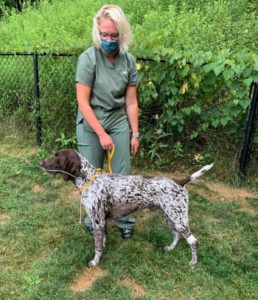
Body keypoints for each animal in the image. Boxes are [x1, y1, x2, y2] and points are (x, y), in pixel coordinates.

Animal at [39, 150, 214, 268]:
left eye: (56, 156)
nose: (40, 163)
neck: (89, 179)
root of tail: (179, 181)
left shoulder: (97, 221)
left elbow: (97, 246)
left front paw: (95, 262)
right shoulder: (102, 222)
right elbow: (103, 242)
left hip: (178, 218)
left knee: (193, 241)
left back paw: (193, 263)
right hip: (169, 216)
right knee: (177, 235)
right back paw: (170, 249)